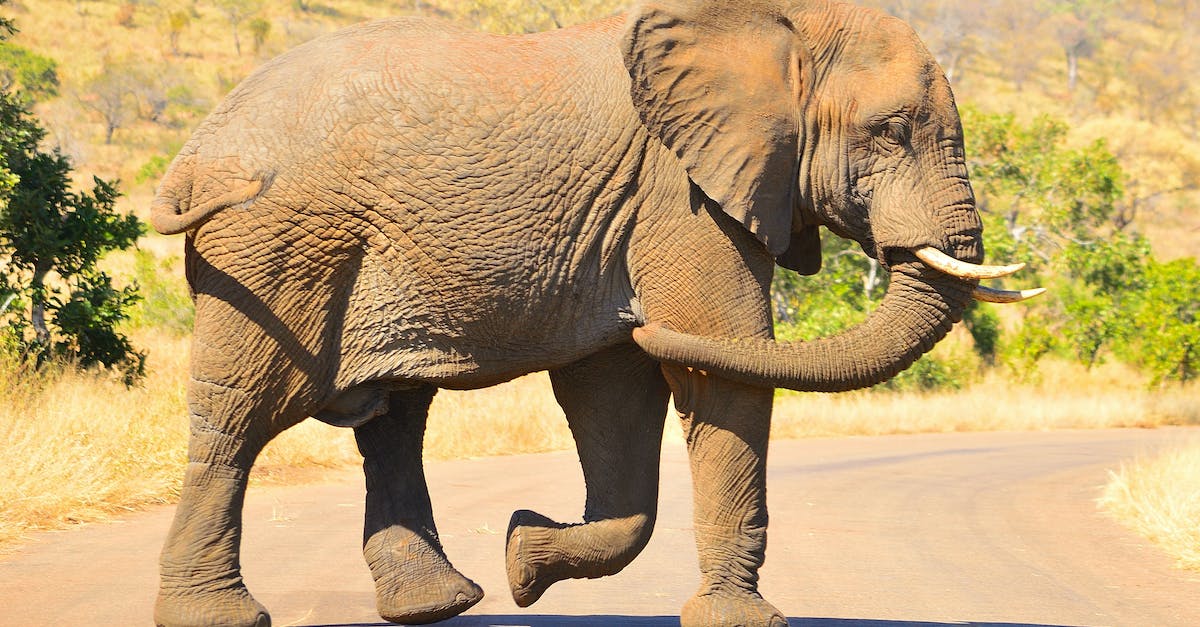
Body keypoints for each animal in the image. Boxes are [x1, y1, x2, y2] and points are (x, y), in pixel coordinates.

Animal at [149, 1, 1038, 626]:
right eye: (890, 133)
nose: (636, 315)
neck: (772, 23)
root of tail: (193, 153)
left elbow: (615, 397)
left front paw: (523, 554)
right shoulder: (680, 194)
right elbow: (719, 362)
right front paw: (743, 621)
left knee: (393, 419)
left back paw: (444, 600)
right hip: (275, 246)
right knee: (243, 415)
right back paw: (216, 615)